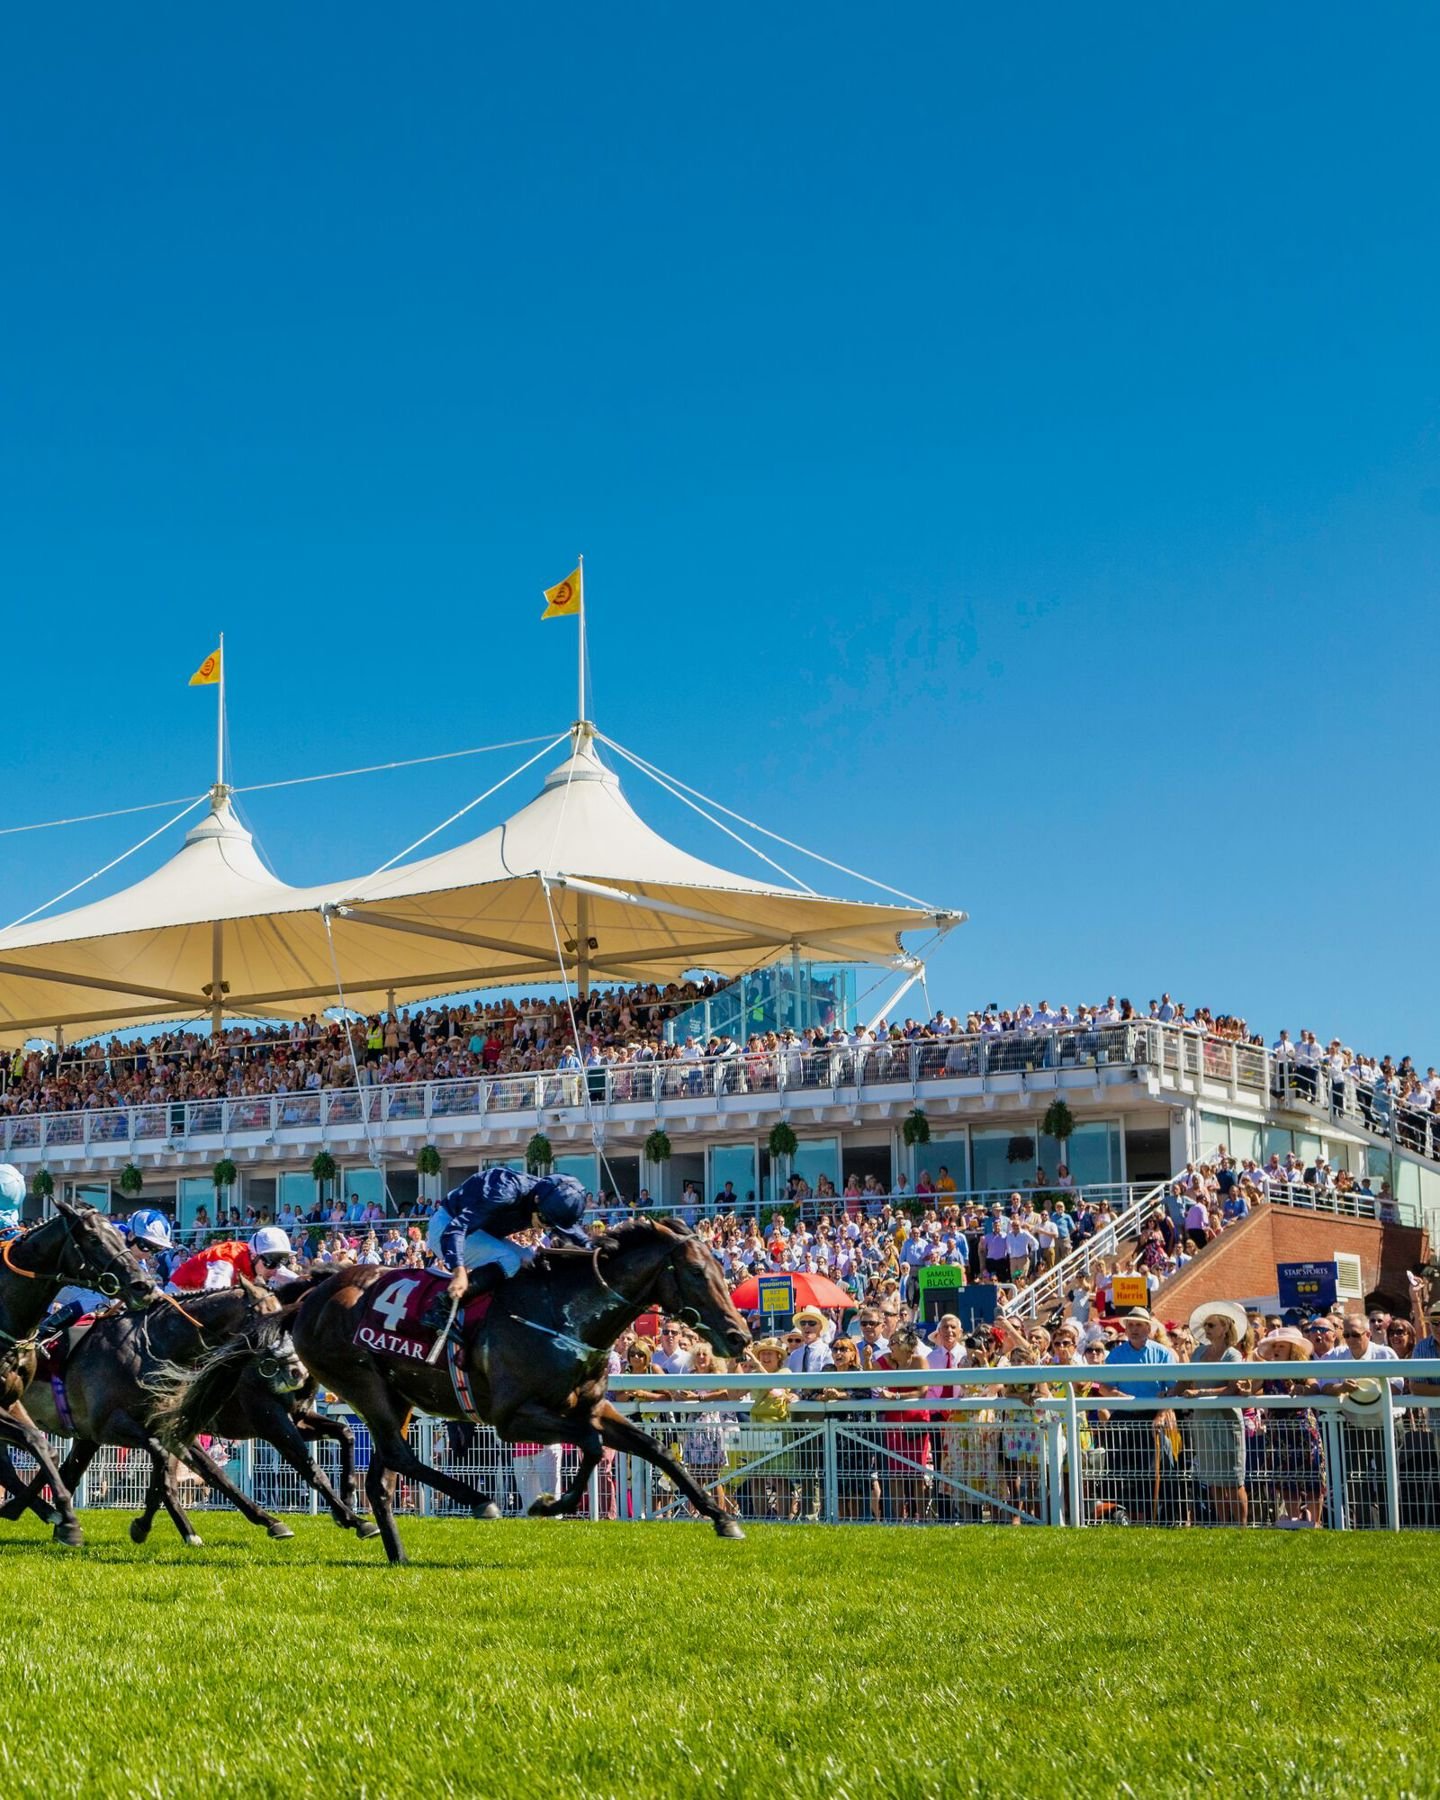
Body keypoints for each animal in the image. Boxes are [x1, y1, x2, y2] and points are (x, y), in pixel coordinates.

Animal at [0, 1202, 155, 1540]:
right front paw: (62, 1518)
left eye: (120, 1237)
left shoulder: (11, 1399)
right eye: (94, 1239)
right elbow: (34, 1441)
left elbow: (44, 1448)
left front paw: (61, 1516)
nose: (144, 1285)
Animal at [165, 1224, 752, 1562]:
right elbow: (587, 1447)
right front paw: (549, 1503)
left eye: (720, 1268)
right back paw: (476, 1501)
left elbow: (652, 1449)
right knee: (397, 1457)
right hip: (363, 1383)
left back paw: (394, 1547)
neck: (560, 1311)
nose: (739, 1336)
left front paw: (721, 1517)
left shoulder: (591, 1405)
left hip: (392, 1396)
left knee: (383, 1471)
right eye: (695, 1272)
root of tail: (312, 1293)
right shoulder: (514, 1417)